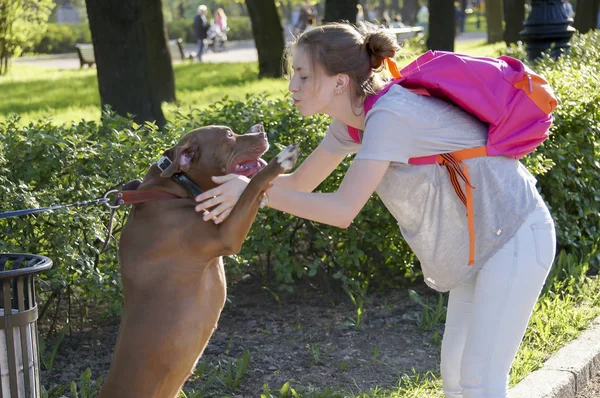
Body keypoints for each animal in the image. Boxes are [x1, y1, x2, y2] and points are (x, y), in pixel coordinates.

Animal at [99, 124, 298, 398]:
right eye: (228, 135)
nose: (261, 129)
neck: (171, 189)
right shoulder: (226, 236)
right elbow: (252, 186)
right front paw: (280, 161)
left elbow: (251, 192)